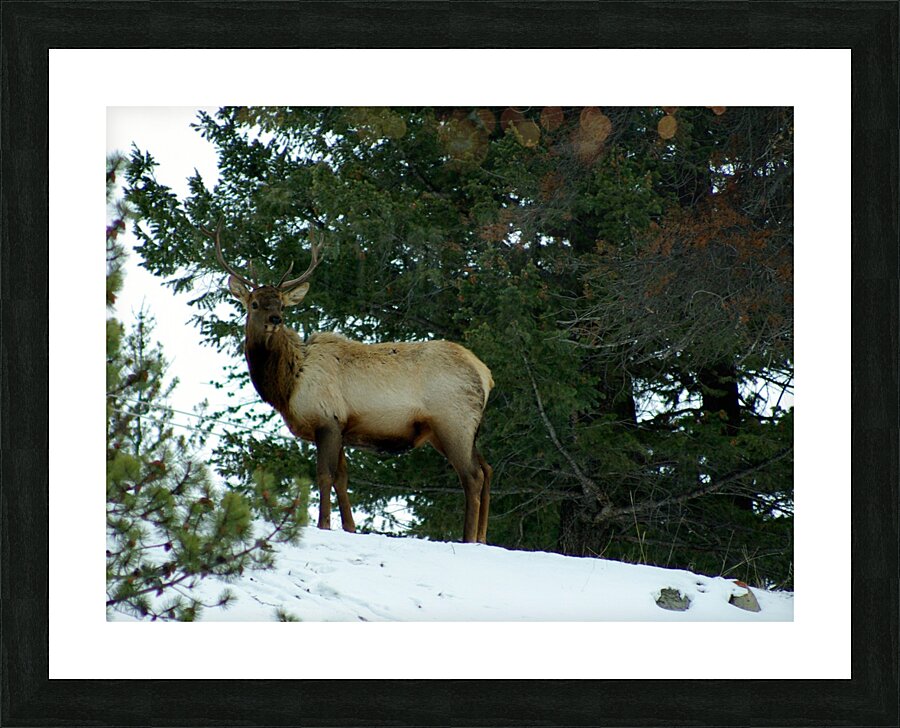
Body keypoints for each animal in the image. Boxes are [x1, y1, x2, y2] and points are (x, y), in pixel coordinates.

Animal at [202, 222, 494, 543]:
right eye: (254, 303)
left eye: (281, 303)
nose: (275, 319)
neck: (287, 386)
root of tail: (485, 374)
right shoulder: (341, 427)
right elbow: (342, 478)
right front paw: (350, 527)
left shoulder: (326, 419)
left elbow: (324, 475)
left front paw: (323, 524)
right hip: (460, 429)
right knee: (487, 468)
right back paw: (482, 538)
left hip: (453, 421)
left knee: (472, 475)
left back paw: (468, 538)